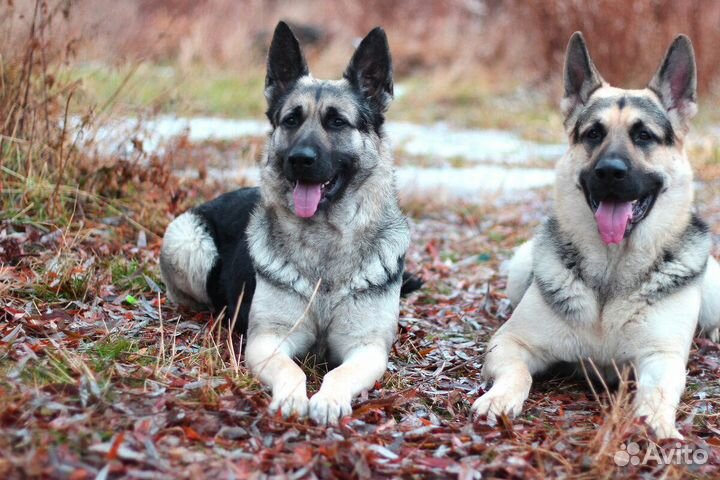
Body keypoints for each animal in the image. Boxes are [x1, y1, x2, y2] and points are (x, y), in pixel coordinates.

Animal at [158, 24, 416, 426]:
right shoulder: (268, 340)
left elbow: (339, 373)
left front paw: (328, 399)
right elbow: (291, 369)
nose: (300, 159)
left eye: (337, 121)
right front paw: (293, 398)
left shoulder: (366, 347)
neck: (325, 243)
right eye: (291, 119)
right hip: (189, 245)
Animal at [472, 32, 720, 438]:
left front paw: (655, 422)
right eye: (593, 134)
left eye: (643, 135)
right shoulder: (510, 342)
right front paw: (500, 397)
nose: (609, 171)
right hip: (520, 264)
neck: (611, 270)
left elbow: (659, 392)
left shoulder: (662, 357)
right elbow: (519, 373)